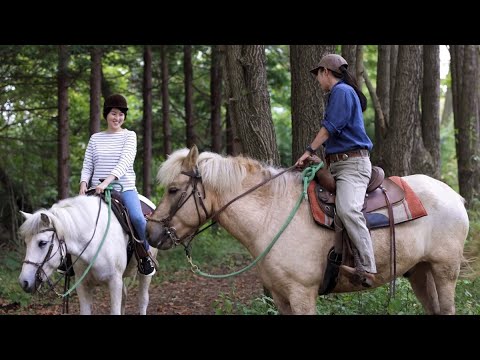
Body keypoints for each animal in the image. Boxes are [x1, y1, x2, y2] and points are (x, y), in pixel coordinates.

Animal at [17, 194, 158, 316]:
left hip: (145, 275)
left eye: (42, 243)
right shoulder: (83, 284)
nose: (24, 282)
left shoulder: (114, 282)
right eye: (26, 242)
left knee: (143, 300)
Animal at [146, 146, 468, 316]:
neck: (272, 215)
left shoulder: (302, 293)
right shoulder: (280, 296)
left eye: (173, 189)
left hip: (444, 271)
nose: (150, 233)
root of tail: (454, 196)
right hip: (420, 271)